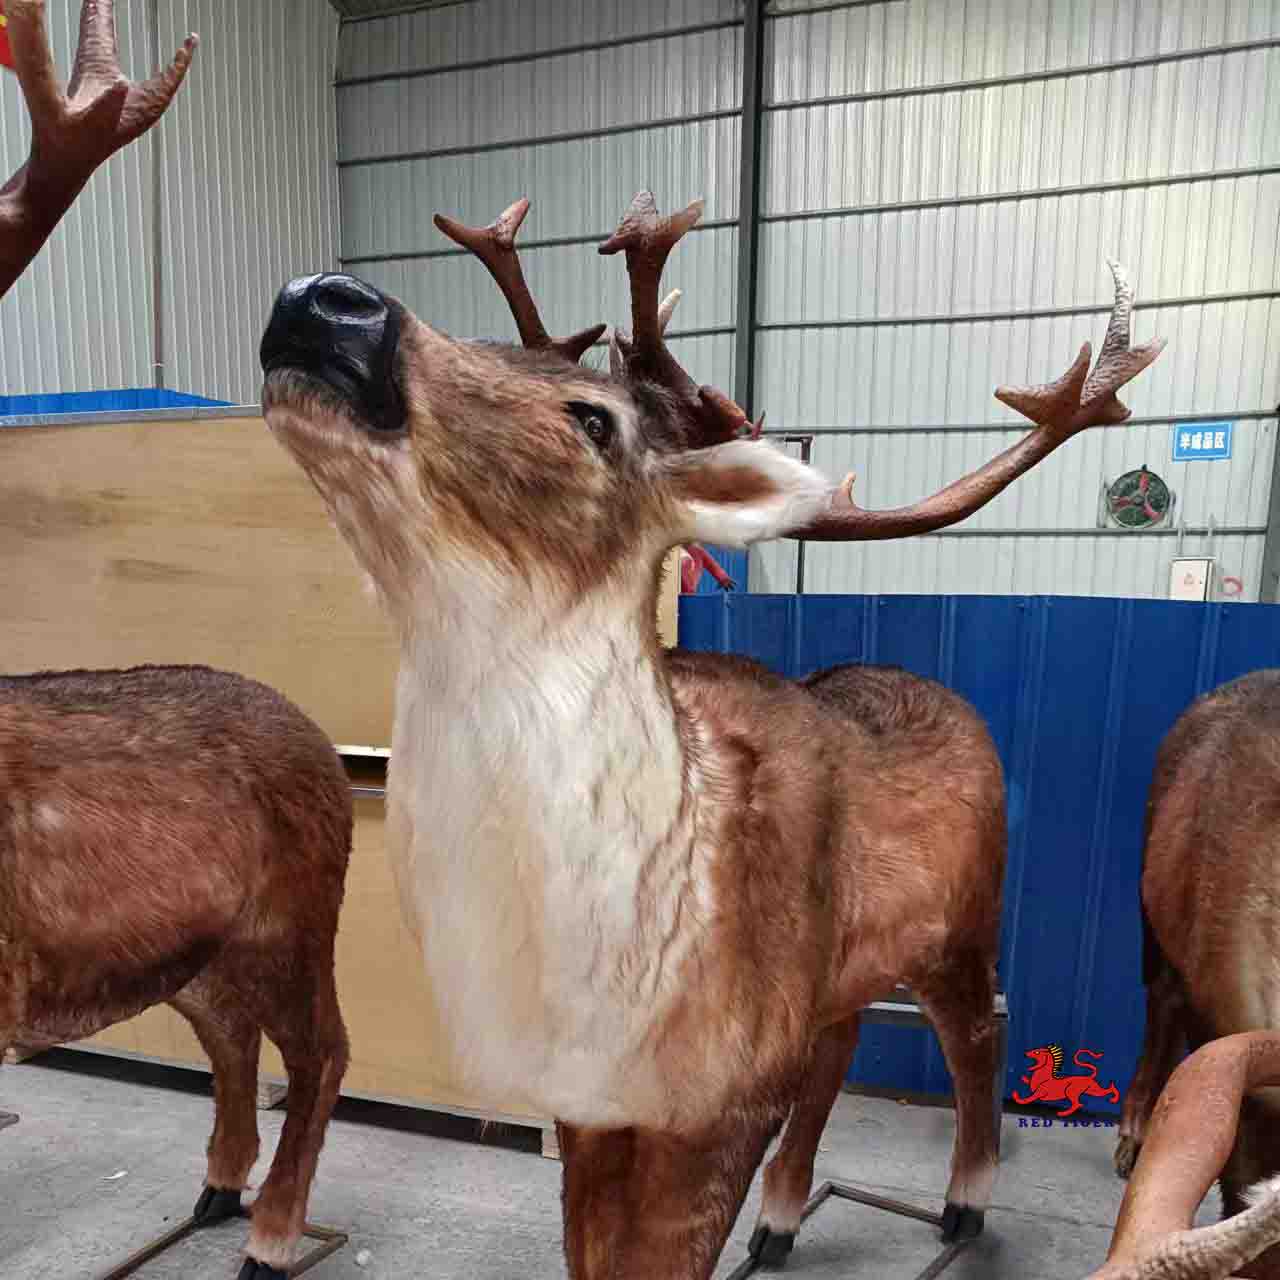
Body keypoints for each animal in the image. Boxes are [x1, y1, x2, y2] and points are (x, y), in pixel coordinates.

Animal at [1, 8, 353, 1280]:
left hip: (299, 908)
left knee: (323, 1048)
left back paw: (272, 1229)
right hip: (199, 949)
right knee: (230, 1037)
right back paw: (212, 1190)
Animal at [258, 189, 1166, 1278]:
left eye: (594, 419)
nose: (328, 301)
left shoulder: (724, 1094)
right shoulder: (592, 1103)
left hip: (963, 918)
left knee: (974, 1037)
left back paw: (962, 1204)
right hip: (836, 969)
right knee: (839, 1044)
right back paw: (780, 1221)